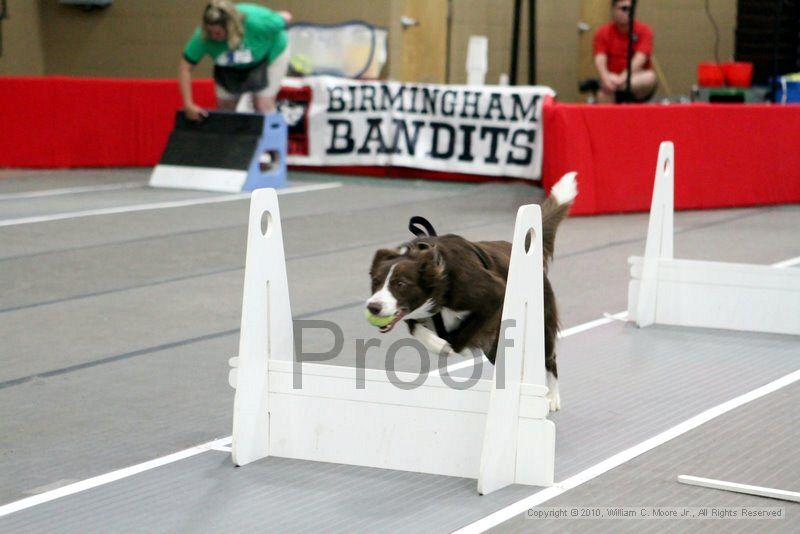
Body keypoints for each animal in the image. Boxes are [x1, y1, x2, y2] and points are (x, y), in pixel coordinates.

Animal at [366, 174, 580, 412]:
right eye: (376, 282)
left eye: (401, 284)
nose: (373, 307)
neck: (441, 278)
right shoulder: (416, 310)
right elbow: (415, 327)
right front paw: (439, 344)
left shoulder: (493, 293)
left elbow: (465, 332)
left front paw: (454, 346)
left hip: (542, 322)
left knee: (549, 358)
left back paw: (552, 397)